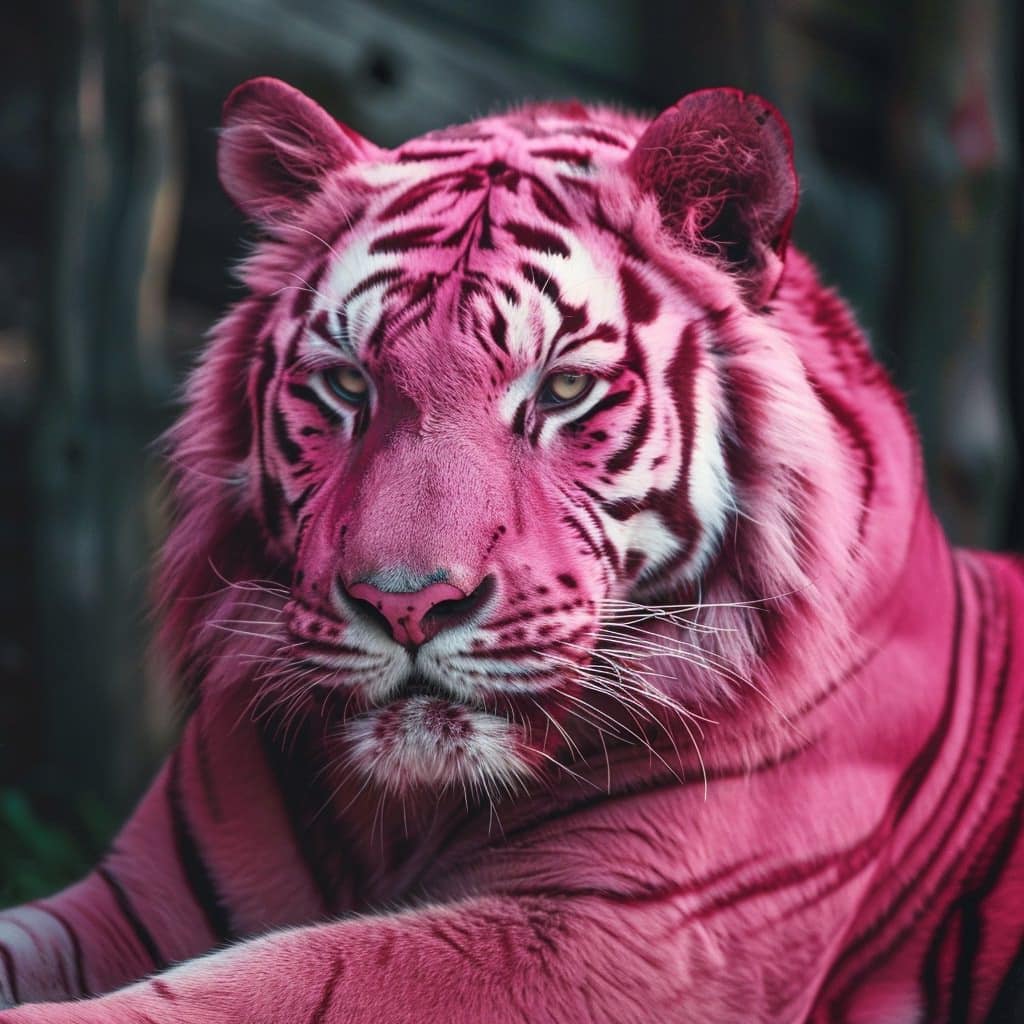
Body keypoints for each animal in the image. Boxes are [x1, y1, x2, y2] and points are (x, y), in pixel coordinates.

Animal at [0, 77, 1022, 1024]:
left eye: (564, 388)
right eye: (347, 385)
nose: (406, 603)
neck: (404, 809)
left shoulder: (626, 943)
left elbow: (278, 987)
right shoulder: (127, 896)